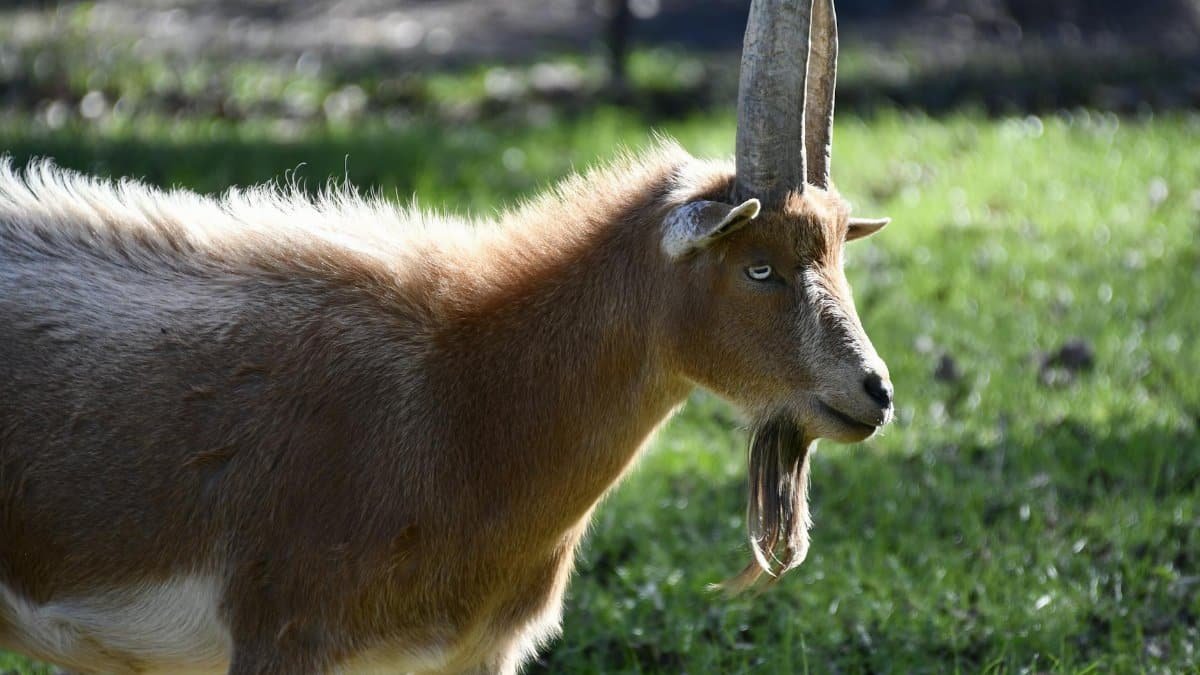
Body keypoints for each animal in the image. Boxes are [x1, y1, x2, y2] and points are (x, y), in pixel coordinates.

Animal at [0, 0, 894, 672]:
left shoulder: (471, 655)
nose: (873, 392)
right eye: (758, 266)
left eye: (837, 247)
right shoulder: (281, 634)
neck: (461, 393)